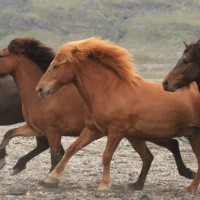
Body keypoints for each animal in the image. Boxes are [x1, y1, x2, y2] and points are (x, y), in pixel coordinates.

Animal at [0, 38, 195, 189]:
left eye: (1, 56)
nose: (41, 89)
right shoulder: (36, 127)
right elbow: (10, 134)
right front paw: (8, 162)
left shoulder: (53, 130)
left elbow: (55, 155)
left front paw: (50, 179)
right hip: (137, 135)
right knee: (153, 154)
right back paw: (141, 184)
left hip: (149, 132)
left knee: (171, 145)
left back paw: (186, 173)